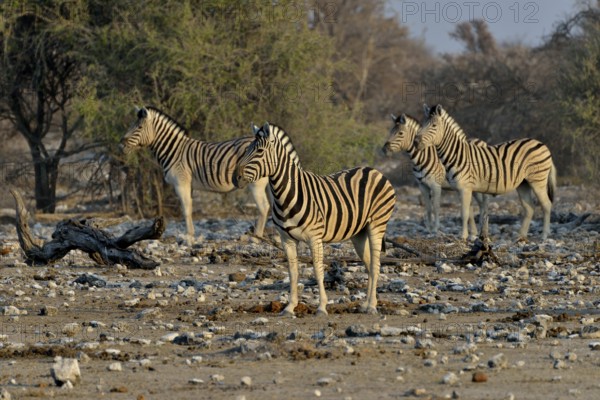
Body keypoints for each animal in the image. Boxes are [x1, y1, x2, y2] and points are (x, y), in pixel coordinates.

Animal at [120, 107, 270, 244]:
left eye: (139, 127)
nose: (121, 144)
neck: (174, 151)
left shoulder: (181, 183)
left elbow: (186, 210)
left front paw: (189, 239)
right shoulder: (189, 185)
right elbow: (189, 208)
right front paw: (191, 237)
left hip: (255, 183)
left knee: (264, 207)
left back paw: (256, 238)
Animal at [236, 122, 398, 316]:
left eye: (259, 151)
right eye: (247, 150)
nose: (236, 177)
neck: (286, 195)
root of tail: (373, 170)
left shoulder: (315, 237)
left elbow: (317, 270)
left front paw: (321, 306)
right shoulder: (286, 239)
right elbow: (293, 272)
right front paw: (289, 307)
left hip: (377, 225)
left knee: (375, 264)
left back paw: (372, 306)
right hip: (359, 233)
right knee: (368, 264)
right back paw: (366, 304)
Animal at [414, 104, 556, 241]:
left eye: (434, 125)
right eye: (422, 124)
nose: (415, 142)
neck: (457, 155)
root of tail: (542, 144)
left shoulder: (465, 188)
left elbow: (464, 213)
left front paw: (463, 236)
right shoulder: (461, 189)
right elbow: (468, 213)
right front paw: (471, 235)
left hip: (537, 181)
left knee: (546, 205)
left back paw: (544, 235)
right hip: (523, 183)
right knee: (530, 208)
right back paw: (520, 236)